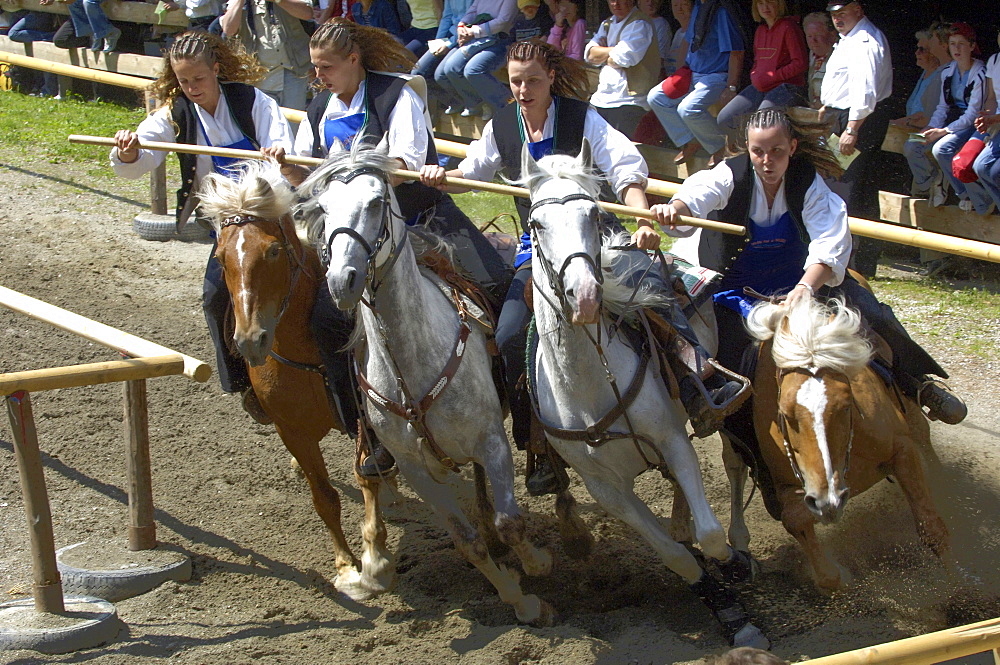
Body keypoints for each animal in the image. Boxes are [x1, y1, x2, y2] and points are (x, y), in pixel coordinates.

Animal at [199, 163, 394, 600]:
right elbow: (324, 498)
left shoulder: (362, 414)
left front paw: (373, 559)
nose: (250, 340)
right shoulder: (292, 431)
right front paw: (346, 568)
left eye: (273, 251)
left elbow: (367, 475)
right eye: (221, 256)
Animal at [300, 143, 560, 624]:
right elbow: (467, 540)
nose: (342, 281)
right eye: (323, 209)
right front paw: (517, 596)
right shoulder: (415, 469)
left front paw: (536, 566)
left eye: (376, 202)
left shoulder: (492, 441)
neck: (410, 364)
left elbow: (511, 524)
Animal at [520, 141, 768, 648]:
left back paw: (740, 539)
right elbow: (676, 555)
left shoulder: (671, 440)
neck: (591, 385)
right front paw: (729, 611)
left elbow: (711, 535)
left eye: (594, 215)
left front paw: (735, 567)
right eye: (536, 224)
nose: (585, 295)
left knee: (733, 465)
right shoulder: (607, 489)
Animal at [748, 296, 948, 592]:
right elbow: (795, 520)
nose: (829, 498)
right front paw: (838, 576)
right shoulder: (788, 488)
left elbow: (933, 530)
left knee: (924, 437)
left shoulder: (903, 449)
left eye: (846, 404)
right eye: (785, 414)